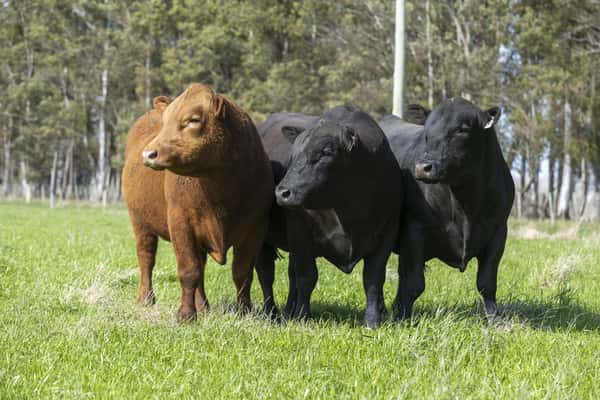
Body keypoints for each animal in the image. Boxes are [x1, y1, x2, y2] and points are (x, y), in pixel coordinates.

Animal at [122, 83, 274, 322]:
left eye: (193, 119)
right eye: (165, 121)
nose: (149, 153)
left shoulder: (255, 228)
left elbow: (242, 272)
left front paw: (244, 312)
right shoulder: (181, 224)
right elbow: (188, 270)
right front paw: (185, 315)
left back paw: (203, 307)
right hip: (140, 222)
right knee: (146, 257)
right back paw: (146, 298)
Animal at [254, 106, 404, 328]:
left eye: (326, 153)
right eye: (294, 155)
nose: (282, 192)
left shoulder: (387, 233)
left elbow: (373, 279)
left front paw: (372, 320)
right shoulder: (300, 234)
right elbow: (307, 276)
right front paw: (302, 317)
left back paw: (288, 310)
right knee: (266, 273)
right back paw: (272, 314)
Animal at [380, 98, 516, 320]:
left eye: (462, 129)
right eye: (426, 131)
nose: (423, 167)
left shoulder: (498, 232)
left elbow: (487, 283)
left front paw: (494, 319)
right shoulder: (414, 230)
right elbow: (413, 283)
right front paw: (402, 318)